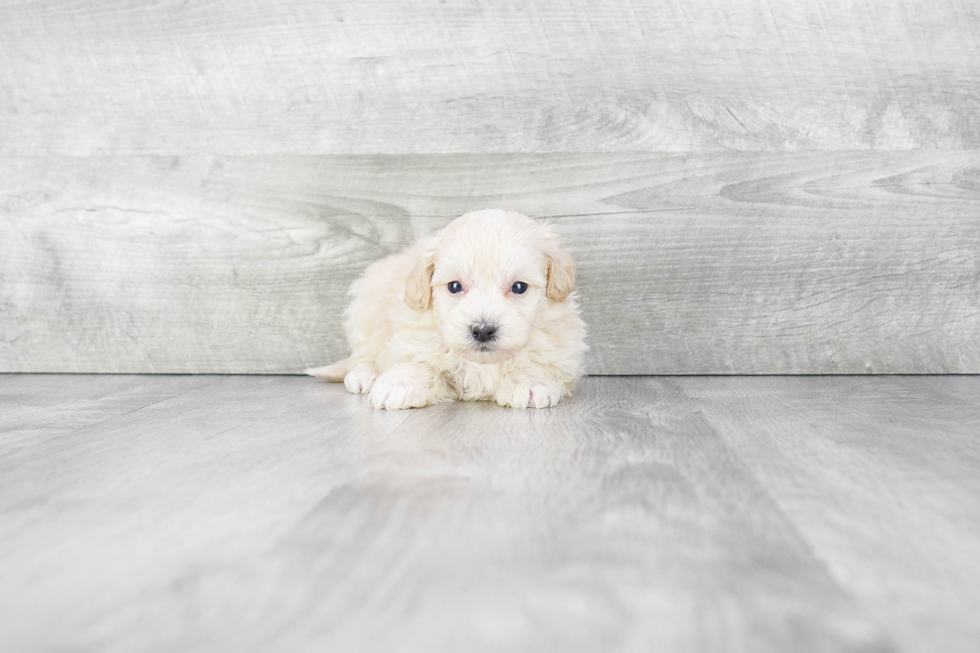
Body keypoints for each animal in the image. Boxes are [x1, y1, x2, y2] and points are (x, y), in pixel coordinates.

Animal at [304, 208, 580, 408]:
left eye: (519, 287)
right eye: (455, 286)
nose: (482, 330)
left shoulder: (560, 341)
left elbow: (539, 360)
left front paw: (531, 382)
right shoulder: (413, 336)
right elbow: (420, 363)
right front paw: (400, 384)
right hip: (365, 311)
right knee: (363, 353)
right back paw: (363, 376)